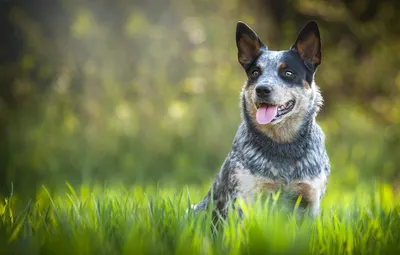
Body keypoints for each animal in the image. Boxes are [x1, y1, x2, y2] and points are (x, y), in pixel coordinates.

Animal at [192, 20, 330, 219]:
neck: (283, 147)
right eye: (255, 73)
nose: (262, 89)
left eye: (288, 73)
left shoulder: (310, 199)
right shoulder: (245, 197)